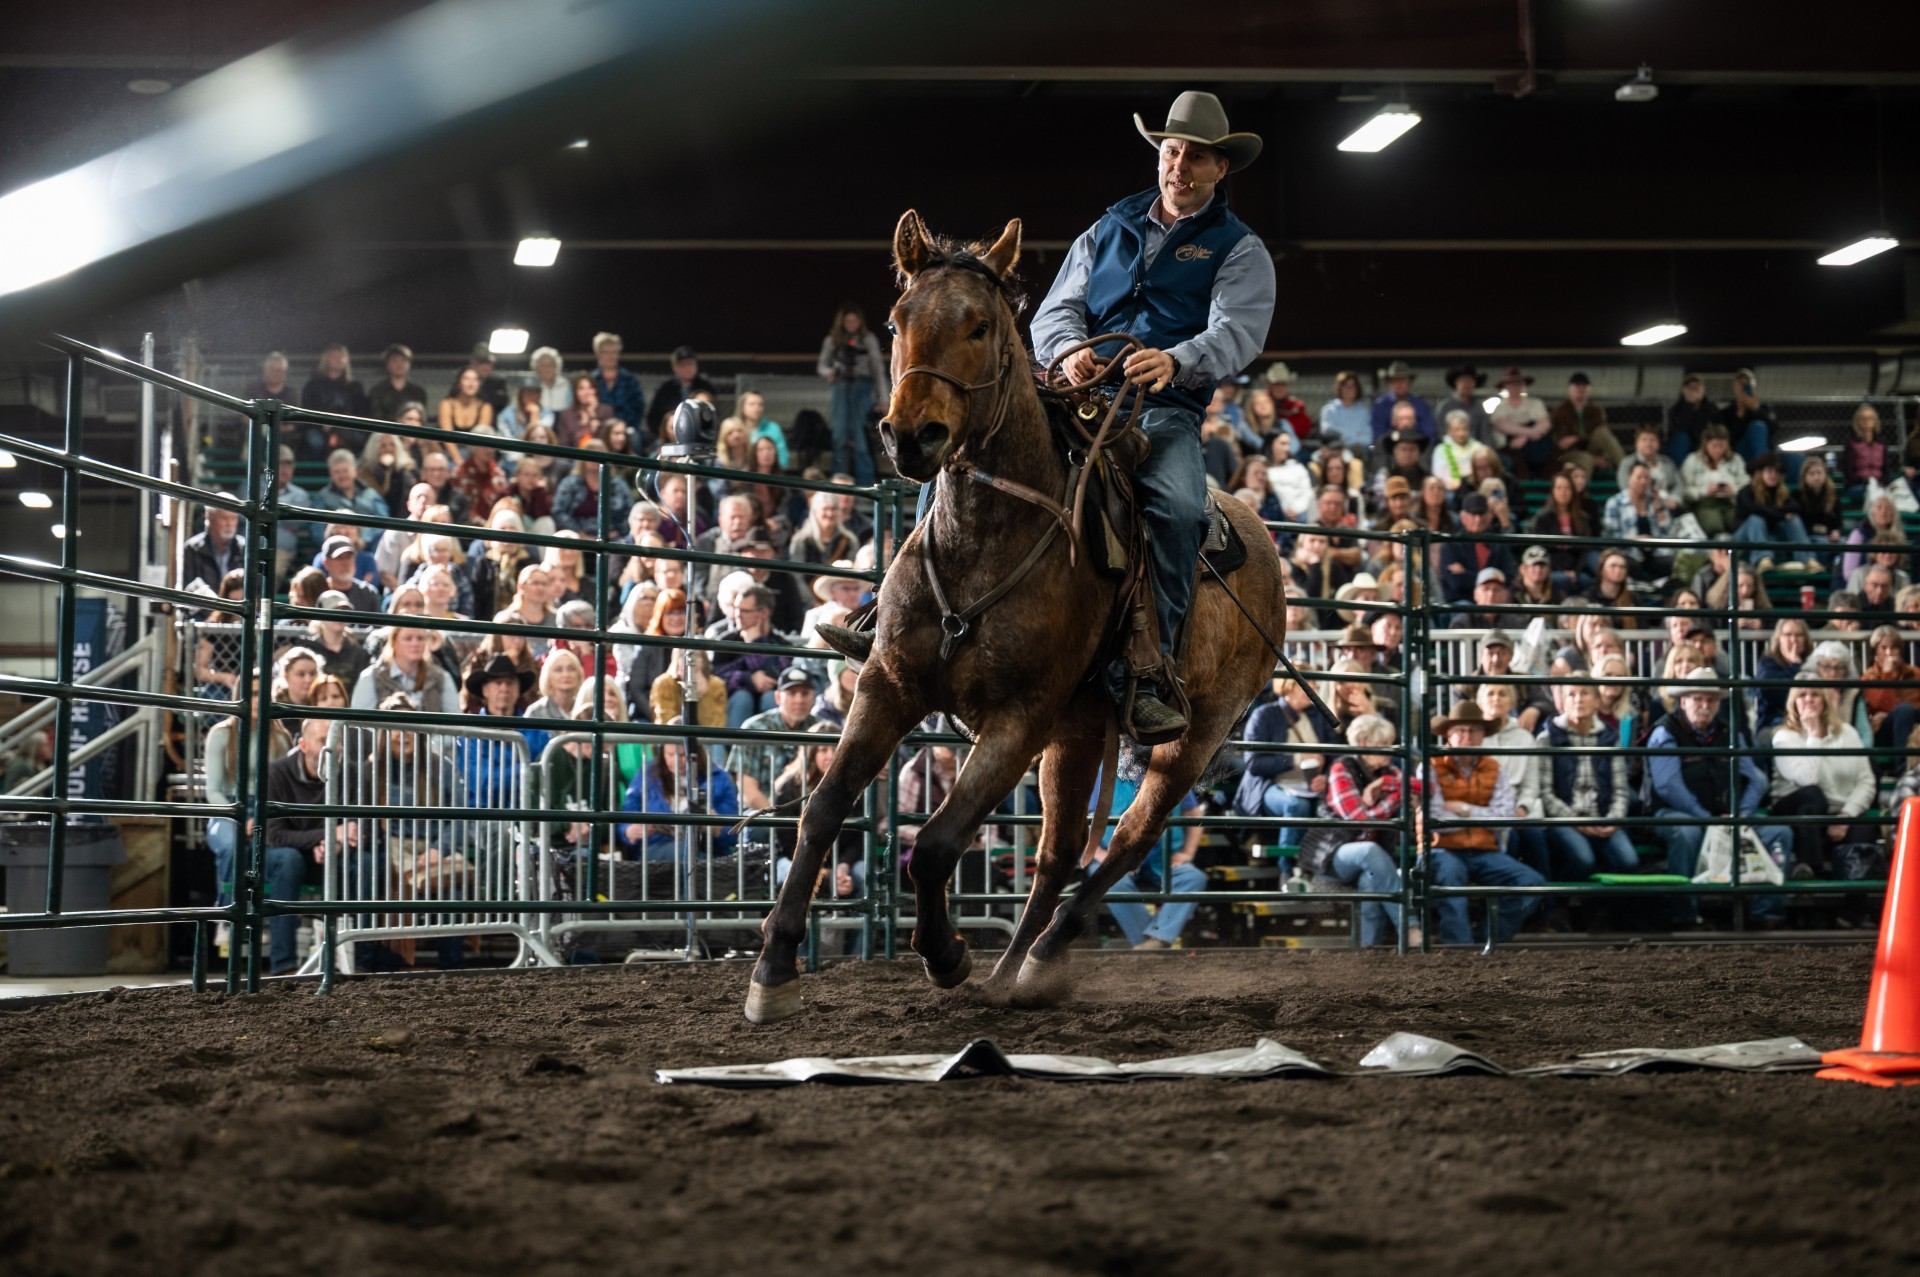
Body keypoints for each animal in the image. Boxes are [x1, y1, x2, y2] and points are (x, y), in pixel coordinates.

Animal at [744, 210, 1287, 1022]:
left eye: (979, 325)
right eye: (897, 320)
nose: (913, 436)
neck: (985, 536)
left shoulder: (1020, 718)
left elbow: (937, 843)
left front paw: (945, 954)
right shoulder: (888, 685)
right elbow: (825, 806)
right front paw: (775, 966)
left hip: (1188, 737)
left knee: (1125, 841)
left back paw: (1040, 956)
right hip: (1080, 730)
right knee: (1059, 851)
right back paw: (1015, 968)